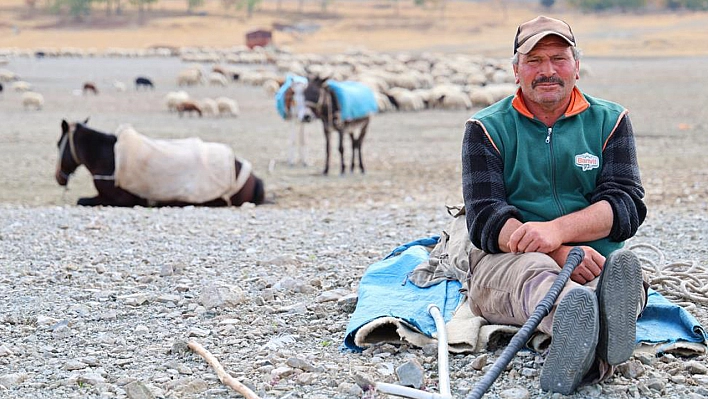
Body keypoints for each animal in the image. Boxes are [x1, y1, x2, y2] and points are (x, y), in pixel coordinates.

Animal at [55, 118, 266, 206]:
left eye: (58, 145)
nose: (58, 177)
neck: (110, 158)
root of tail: (253, 177)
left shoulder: (121, 200)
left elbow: (82, 201)